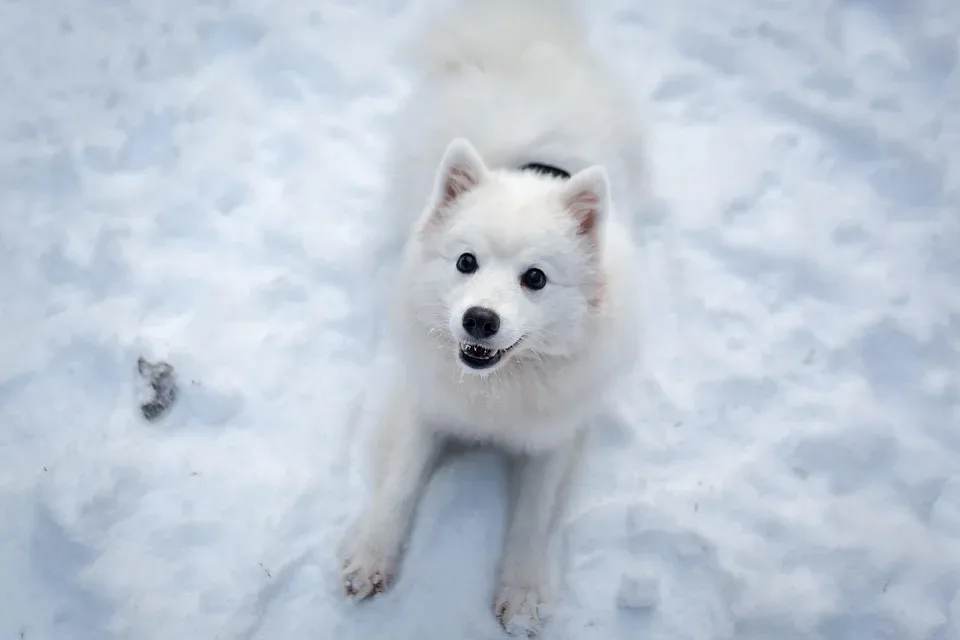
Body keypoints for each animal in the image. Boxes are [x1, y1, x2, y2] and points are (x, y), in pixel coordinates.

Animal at [338, 0, 644, 632]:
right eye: (466, 262)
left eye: (536, 278)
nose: (479, 320)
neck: (497, 388)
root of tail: (520, 37)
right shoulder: (425, 405)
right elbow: (399, 484)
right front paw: (371, 557)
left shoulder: (555, 436)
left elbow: (533, 516)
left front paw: (522, 594)